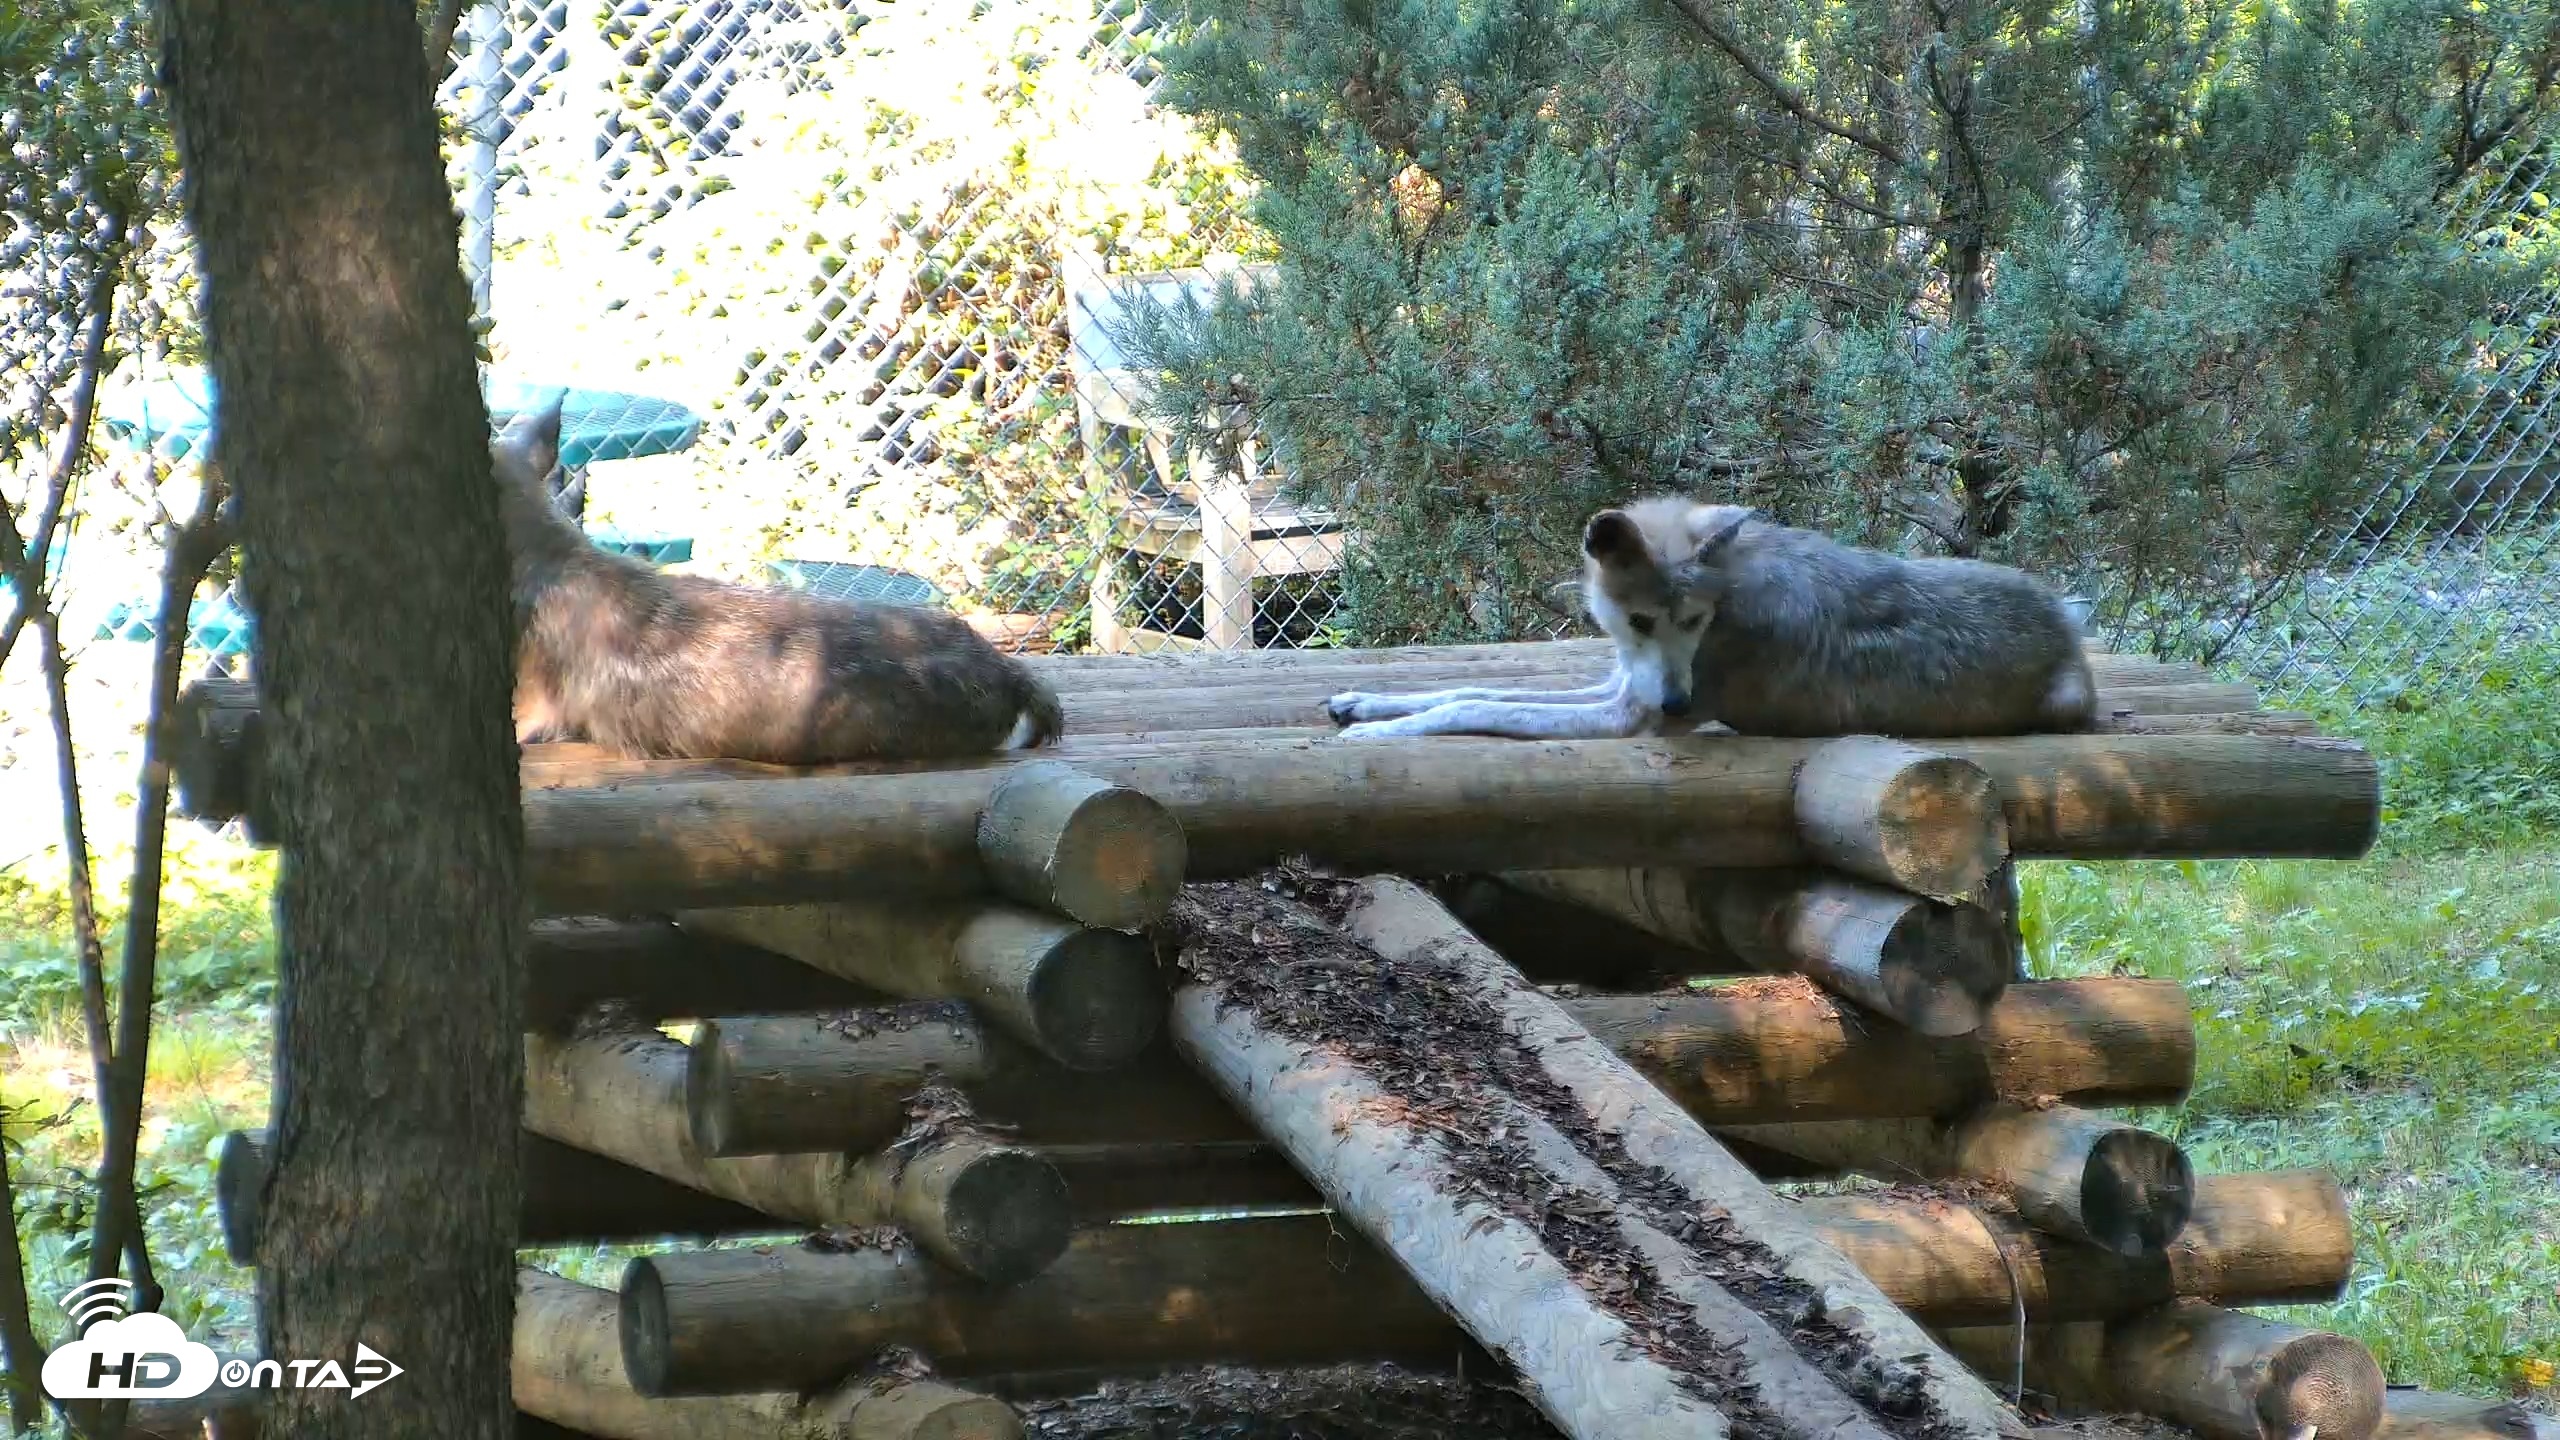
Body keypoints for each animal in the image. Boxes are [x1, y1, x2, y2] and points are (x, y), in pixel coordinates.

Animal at [1325, 495, 2096, 741]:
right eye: (1642, 622)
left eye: (1694, 622)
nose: (1678, 704)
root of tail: (2071, 628)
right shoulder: (1620, 683)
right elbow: (1466, 689)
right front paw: (1363, 703)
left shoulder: (1626, 717)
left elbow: (1476, 707)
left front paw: (1379, 736)